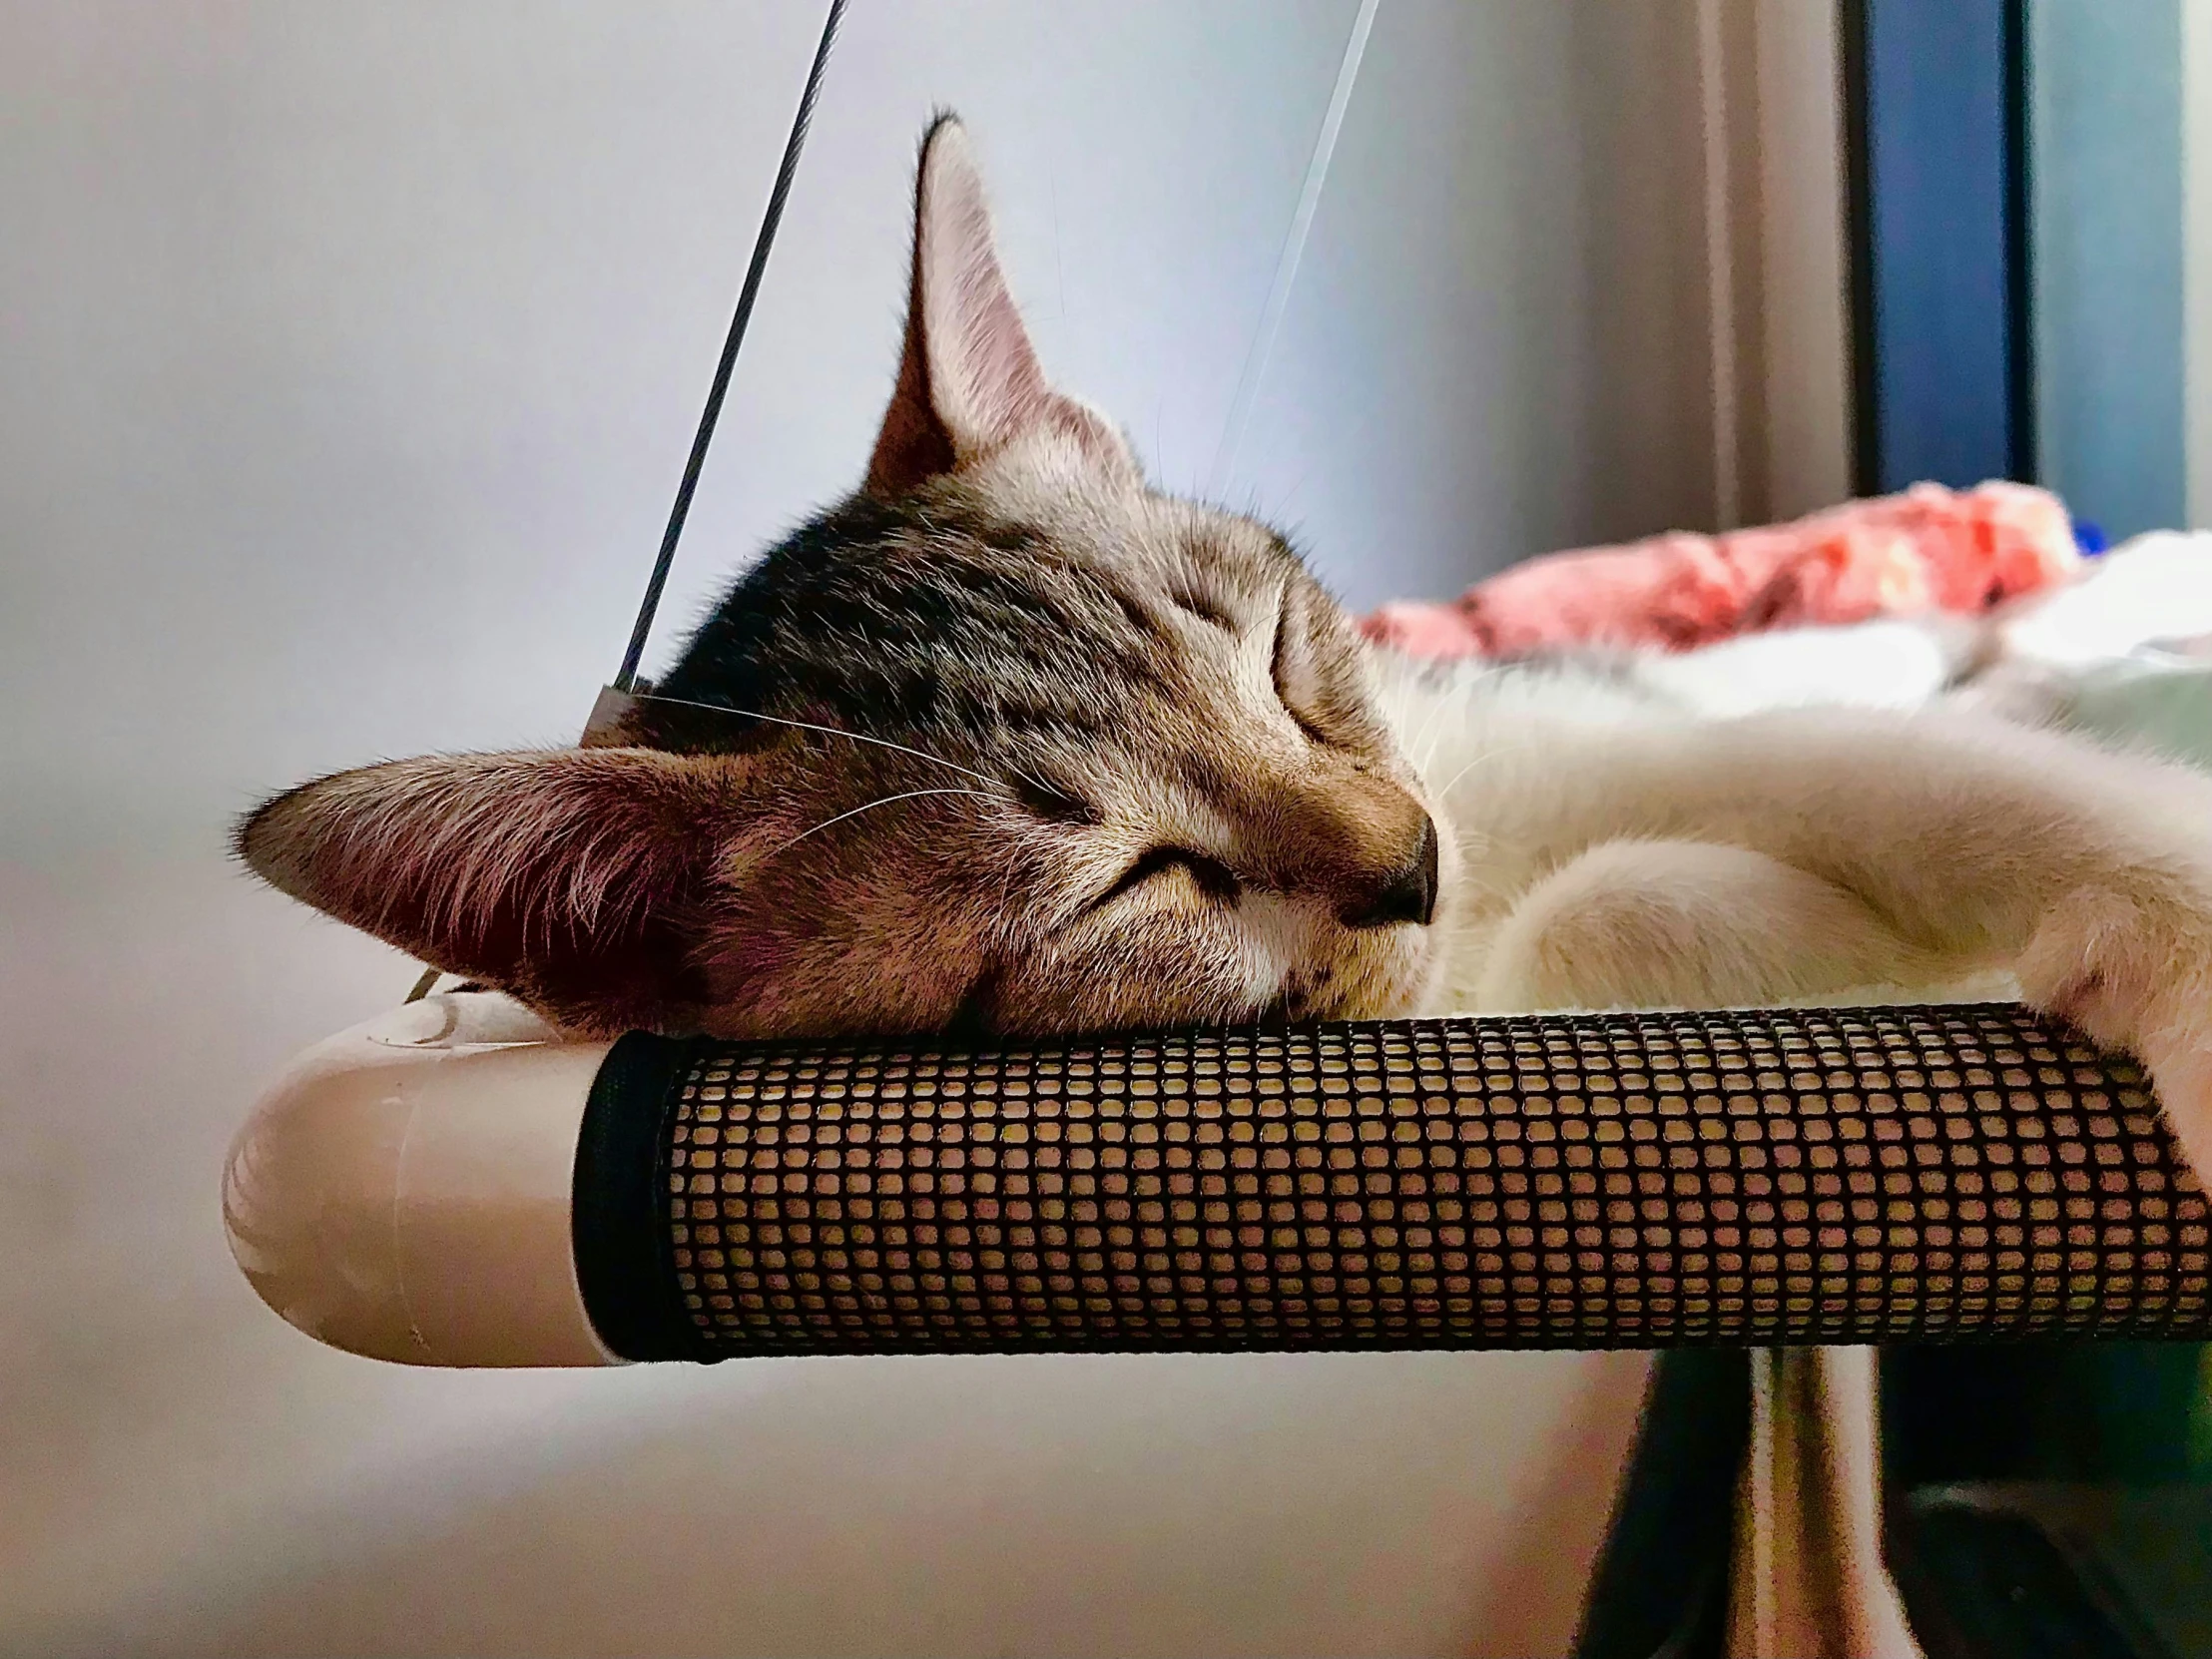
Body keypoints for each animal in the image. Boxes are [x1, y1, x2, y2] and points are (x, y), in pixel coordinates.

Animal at [238, 114, 2212, 1185]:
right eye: (1135, 885)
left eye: (1268, 651)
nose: (1415, 862)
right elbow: (1616, 915)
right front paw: (1714, 907)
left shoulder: (1540, 739)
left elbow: (1932, 786)